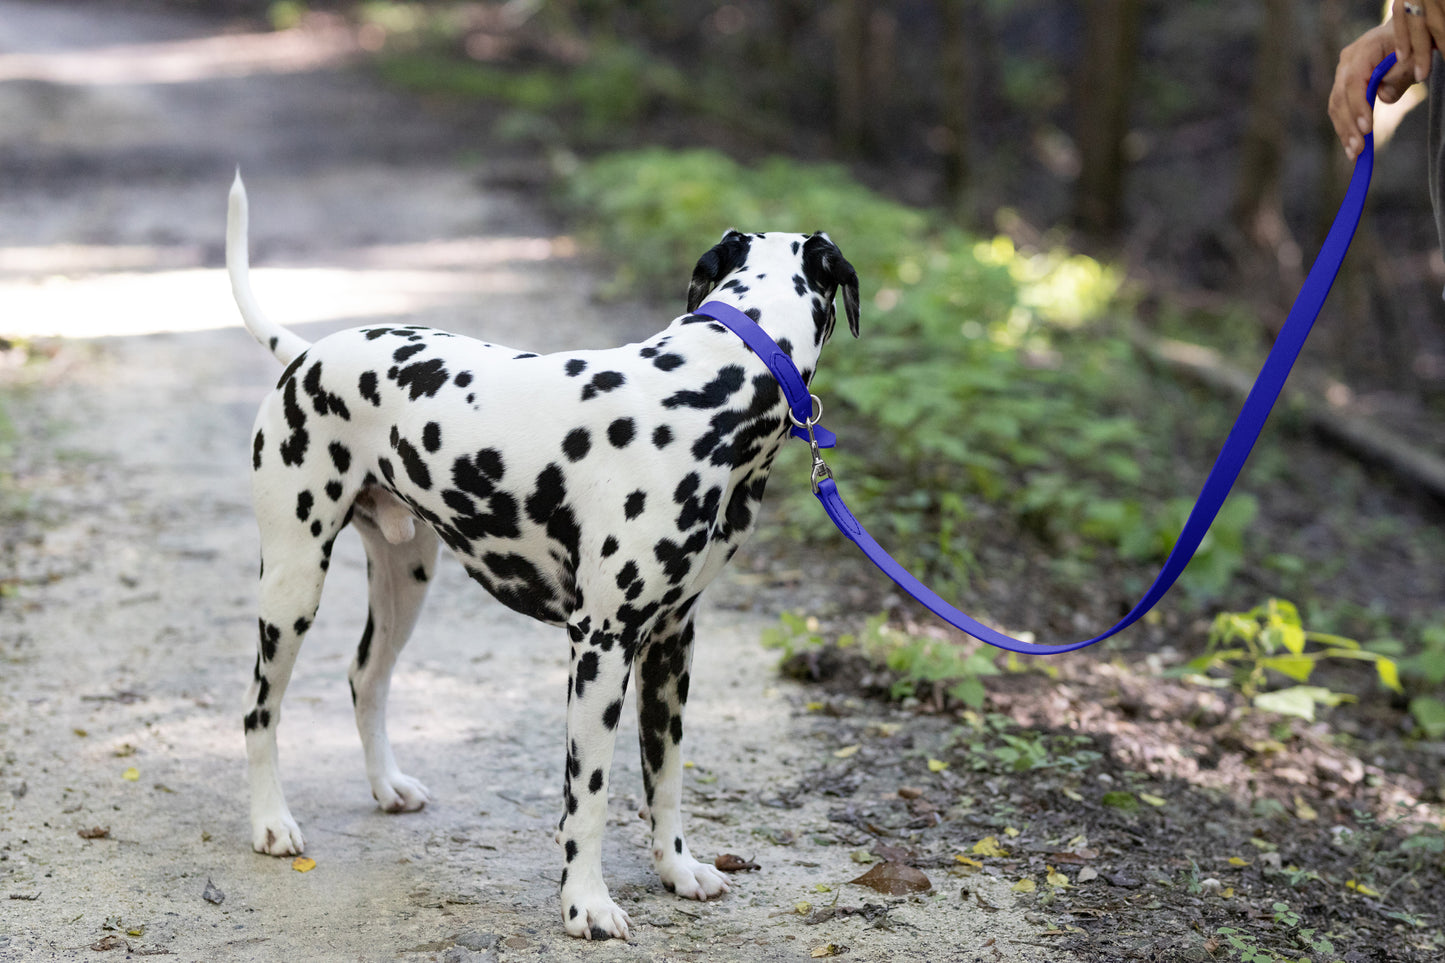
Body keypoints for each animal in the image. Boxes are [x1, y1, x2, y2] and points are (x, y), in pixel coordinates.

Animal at [225, 174, 855, 936]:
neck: (712, 383)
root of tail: (309, 352)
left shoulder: (671, 642)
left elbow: (665, 777)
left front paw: (677, 869)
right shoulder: (602, 644)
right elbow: (589, 794)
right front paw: (586, 903)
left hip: (406, 581)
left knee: (364, 678)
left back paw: (386, 785)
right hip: (292, 585)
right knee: (259, 708)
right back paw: (271, 821)